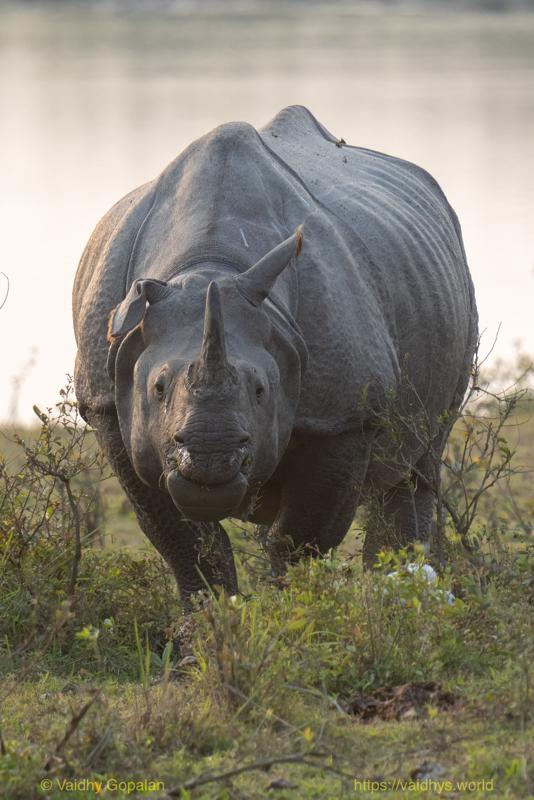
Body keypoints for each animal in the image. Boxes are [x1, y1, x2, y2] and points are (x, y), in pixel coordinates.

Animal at [73, 105, 477, 603]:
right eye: (159, 387)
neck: (207, 263)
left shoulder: (342, 417)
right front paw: (208, 623)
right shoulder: (106, 401)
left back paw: (405, 586)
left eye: (262, 390)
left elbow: (300, 541)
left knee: (418, 461)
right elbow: (185, 542)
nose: (210, 455)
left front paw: (295, 609)